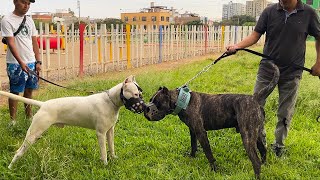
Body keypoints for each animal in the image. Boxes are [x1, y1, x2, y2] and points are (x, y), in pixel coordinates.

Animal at [0, 75, 145, 169]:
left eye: (141, 94)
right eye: (136, 94)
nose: (145, 107)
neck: (110, 101)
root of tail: (44, 104)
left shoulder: (110, 131)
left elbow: (111, 147)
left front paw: (113, 158)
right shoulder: (101, 134)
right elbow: (104, 152)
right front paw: (105, 164)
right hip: (32, 134)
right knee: (18, 152)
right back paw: (10, 167)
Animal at [144, 61, 278, 179]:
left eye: (157, 103)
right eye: (150, 100)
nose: (146, 109)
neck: (182, 101)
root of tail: (255, 98)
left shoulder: (201, 133)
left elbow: (208, 153)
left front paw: (214, 170)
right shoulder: (193, 131)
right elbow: (193, 145)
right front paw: (192, 157)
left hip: (247, 137)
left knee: (256, 161)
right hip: (258, 134)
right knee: (263, 151)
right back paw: (265, 166)